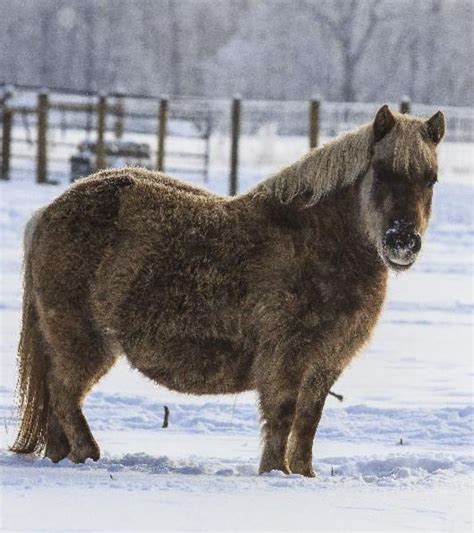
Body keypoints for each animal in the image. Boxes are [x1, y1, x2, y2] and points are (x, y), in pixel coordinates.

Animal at [11, 104, 446, 474]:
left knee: (58, 405)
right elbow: (283, 415)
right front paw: (276, 473)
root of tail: (48, 212)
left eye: (431, 179)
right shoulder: (286, 359)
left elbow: (308, 423)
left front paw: (303, 476)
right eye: (382, 171)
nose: (403, 241)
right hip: (82, 341)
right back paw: (89, 455)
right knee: (64, 394)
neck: (317, 242)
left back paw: (64, 459)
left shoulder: (325, 364)